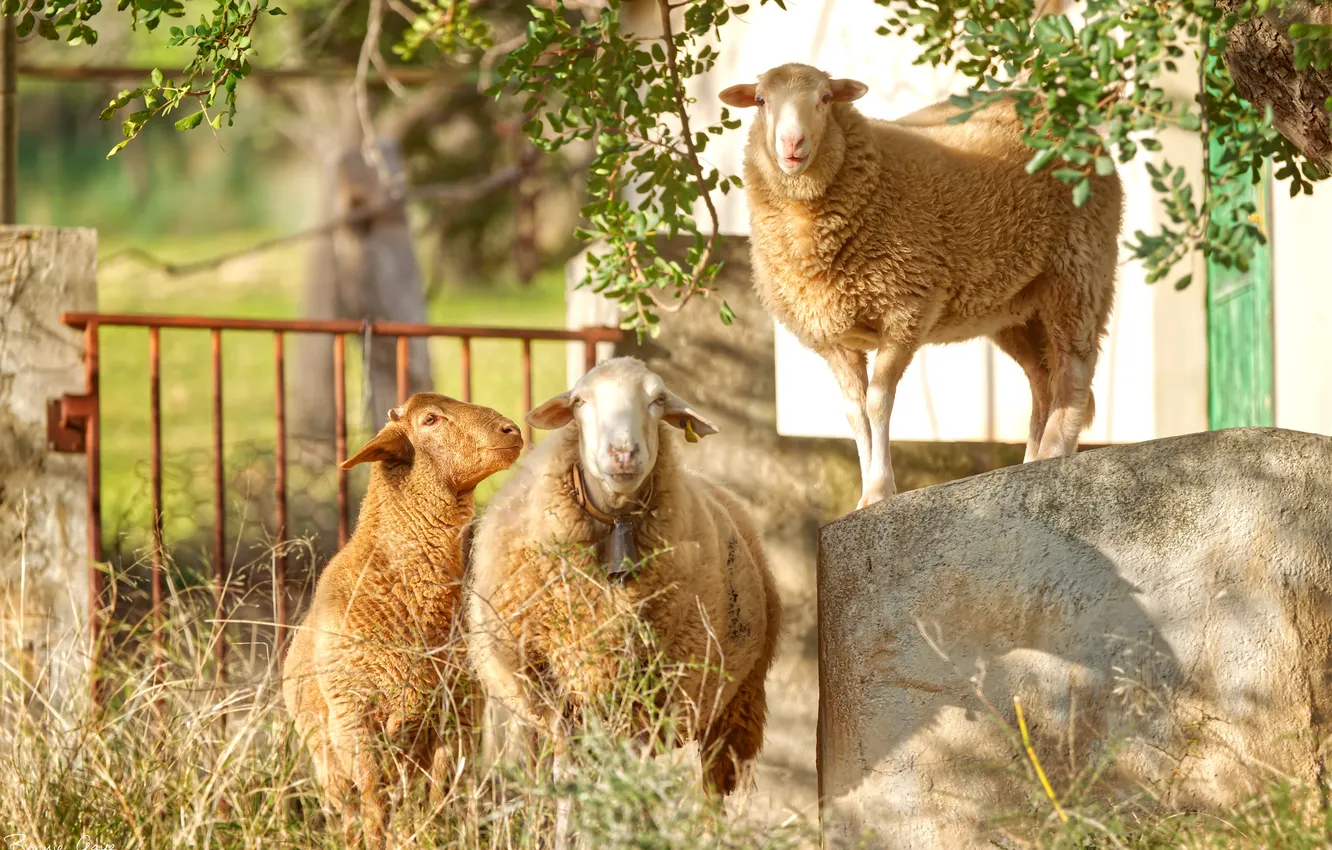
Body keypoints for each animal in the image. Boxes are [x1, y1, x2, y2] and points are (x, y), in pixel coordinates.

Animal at [282, 393, 523, 848]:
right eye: (430, 420)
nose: (512, 430)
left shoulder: (456, 716)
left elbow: (437, 798)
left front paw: (432, 836)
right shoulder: (353, 720)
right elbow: (375, 802)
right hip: (325, 755)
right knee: (349, 809)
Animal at [466, 357, 782, 806]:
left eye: (658, 400)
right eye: (579, 401)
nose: (622, 454)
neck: (616, 519)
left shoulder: (650, 694)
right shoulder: (556, 691)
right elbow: (568, 779)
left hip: (731, 704)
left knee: (709, 789)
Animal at [720, 63, 1123, 507]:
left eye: (825, 98)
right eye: (760, 100)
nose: (792, 143)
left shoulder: (906, 310)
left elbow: (878, 403)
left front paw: (880, 488)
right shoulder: (832, 338)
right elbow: (854, 412)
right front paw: (865, 493)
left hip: (1078, 265)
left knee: (1074, 365)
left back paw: (1053, 452)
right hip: (1015, 304)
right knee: (1041, 378)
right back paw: (1031, 459)